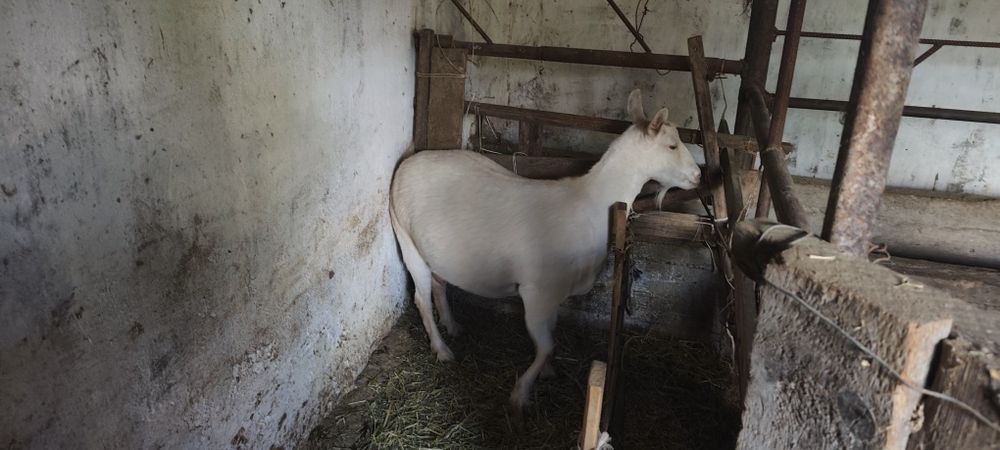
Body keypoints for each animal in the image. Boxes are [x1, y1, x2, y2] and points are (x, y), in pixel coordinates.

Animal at [388, 89, 702, 409]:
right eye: (672, 145)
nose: (698, 176)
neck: (590, 201)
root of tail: (409, 162)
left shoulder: (556, 293)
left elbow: (550, 338)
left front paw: (547, 372)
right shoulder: (537, 291)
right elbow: (546, 344)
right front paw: (520, 392)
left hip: (433, 251)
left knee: (439, 285)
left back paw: (452, 326)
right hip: (405, 237)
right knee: (421, 298)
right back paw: (442, 349)